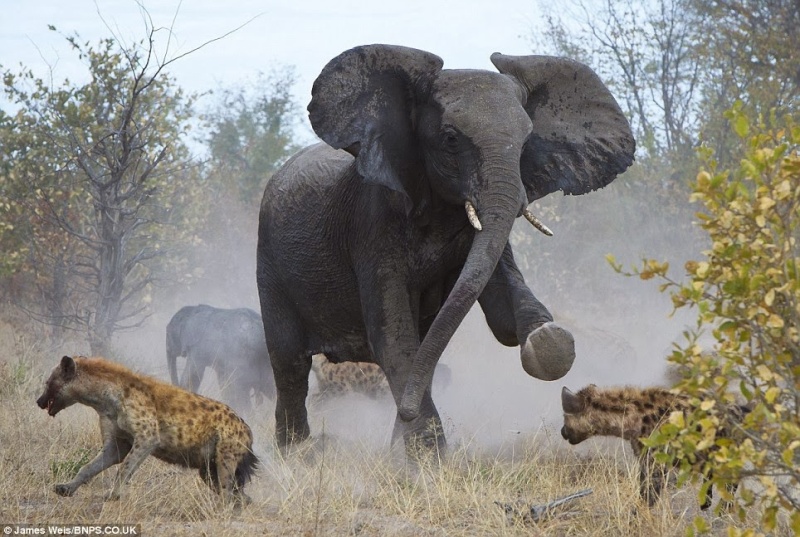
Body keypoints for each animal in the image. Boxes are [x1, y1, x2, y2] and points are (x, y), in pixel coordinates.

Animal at [258, 44, 636, 452]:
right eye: (451, 139)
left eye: (526, 142)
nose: (404, 412)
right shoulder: (372, 223)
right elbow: (392, 335)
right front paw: (426, 455)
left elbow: (502, 314)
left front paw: (549, 341)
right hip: (269, 261)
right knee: (290, 364)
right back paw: (296, 453)